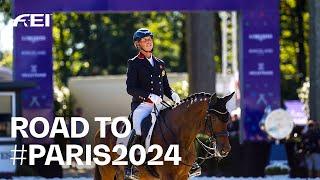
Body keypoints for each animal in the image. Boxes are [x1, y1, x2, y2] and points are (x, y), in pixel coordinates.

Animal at [92, 92, 232, 179]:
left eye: (228, 119)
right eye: (213, 118)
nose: (225, 149)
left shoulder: (183, 176)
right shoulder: (167, 175)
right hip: (107, 171)